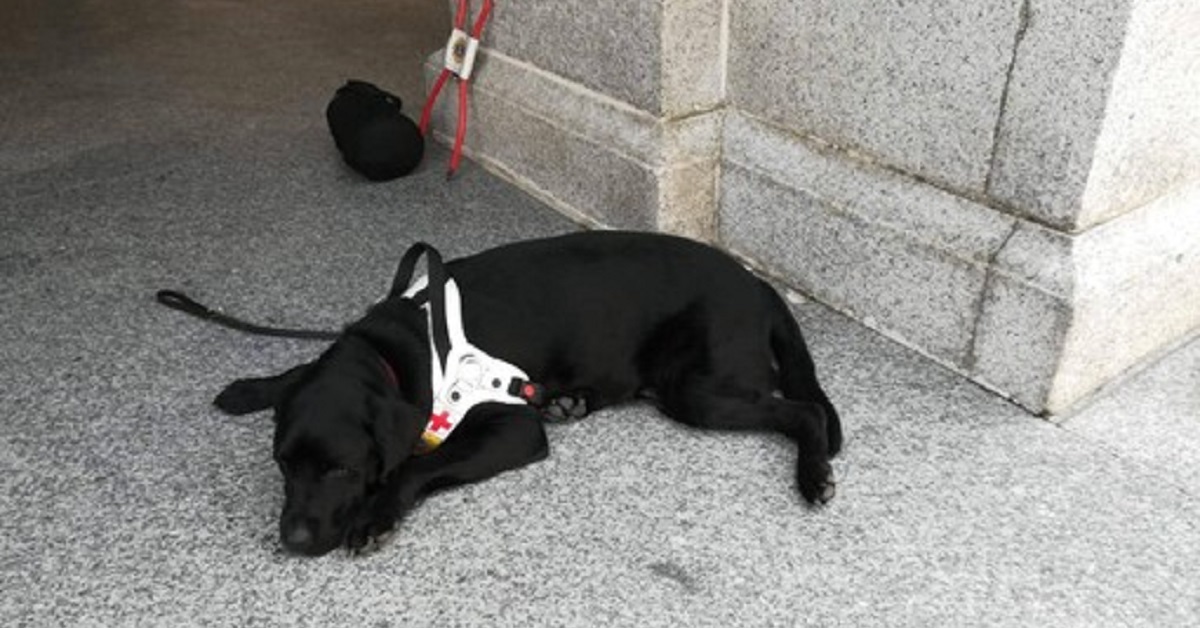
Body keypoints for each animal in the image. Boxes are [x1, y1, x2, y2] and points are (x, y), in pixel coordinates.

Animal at [216, 230, 849, 554]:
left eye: (341, 471)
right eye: (283, 465)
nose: (293, 541)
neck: (399, 352)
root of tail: (758, 284)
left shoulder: (514, 429)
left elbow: (418, 465)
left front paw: (377, 516)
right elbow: (296, 371)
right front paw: (253, 387)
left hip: (697, 390)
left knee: (805, 412)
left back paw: (812, 475)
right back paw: (573, 400)